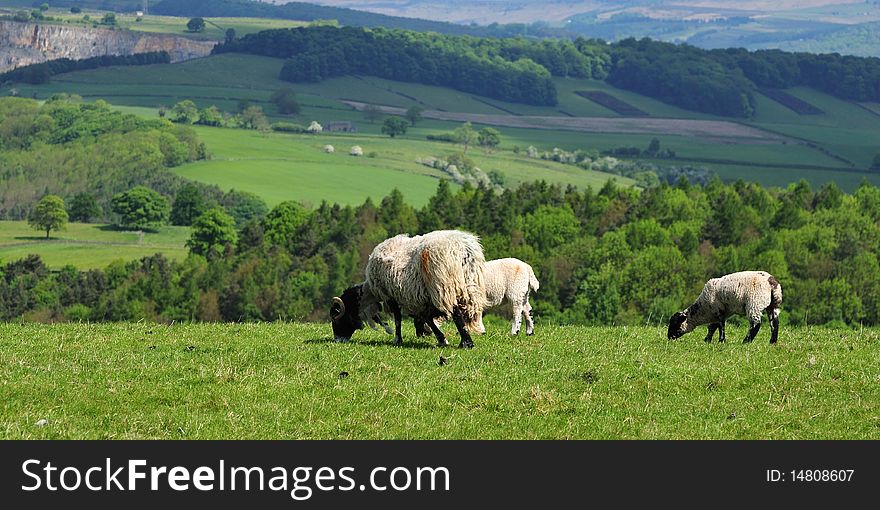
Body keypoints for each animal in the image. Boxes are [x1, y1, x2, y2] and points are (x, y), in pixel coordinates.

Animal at [328, 230, 484, 346]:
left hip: (445, 285)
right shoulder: (422, 299)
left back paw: (466, 343)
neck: (369, 292)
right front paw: (441, 339)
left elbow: (398, 319)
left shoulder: (391, 296)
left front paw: (397, 340)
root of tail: (462, 248)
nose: (337, 340)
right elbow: (426, 318)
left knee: (456, 313)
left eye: (336, 319)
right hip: (470, 286)